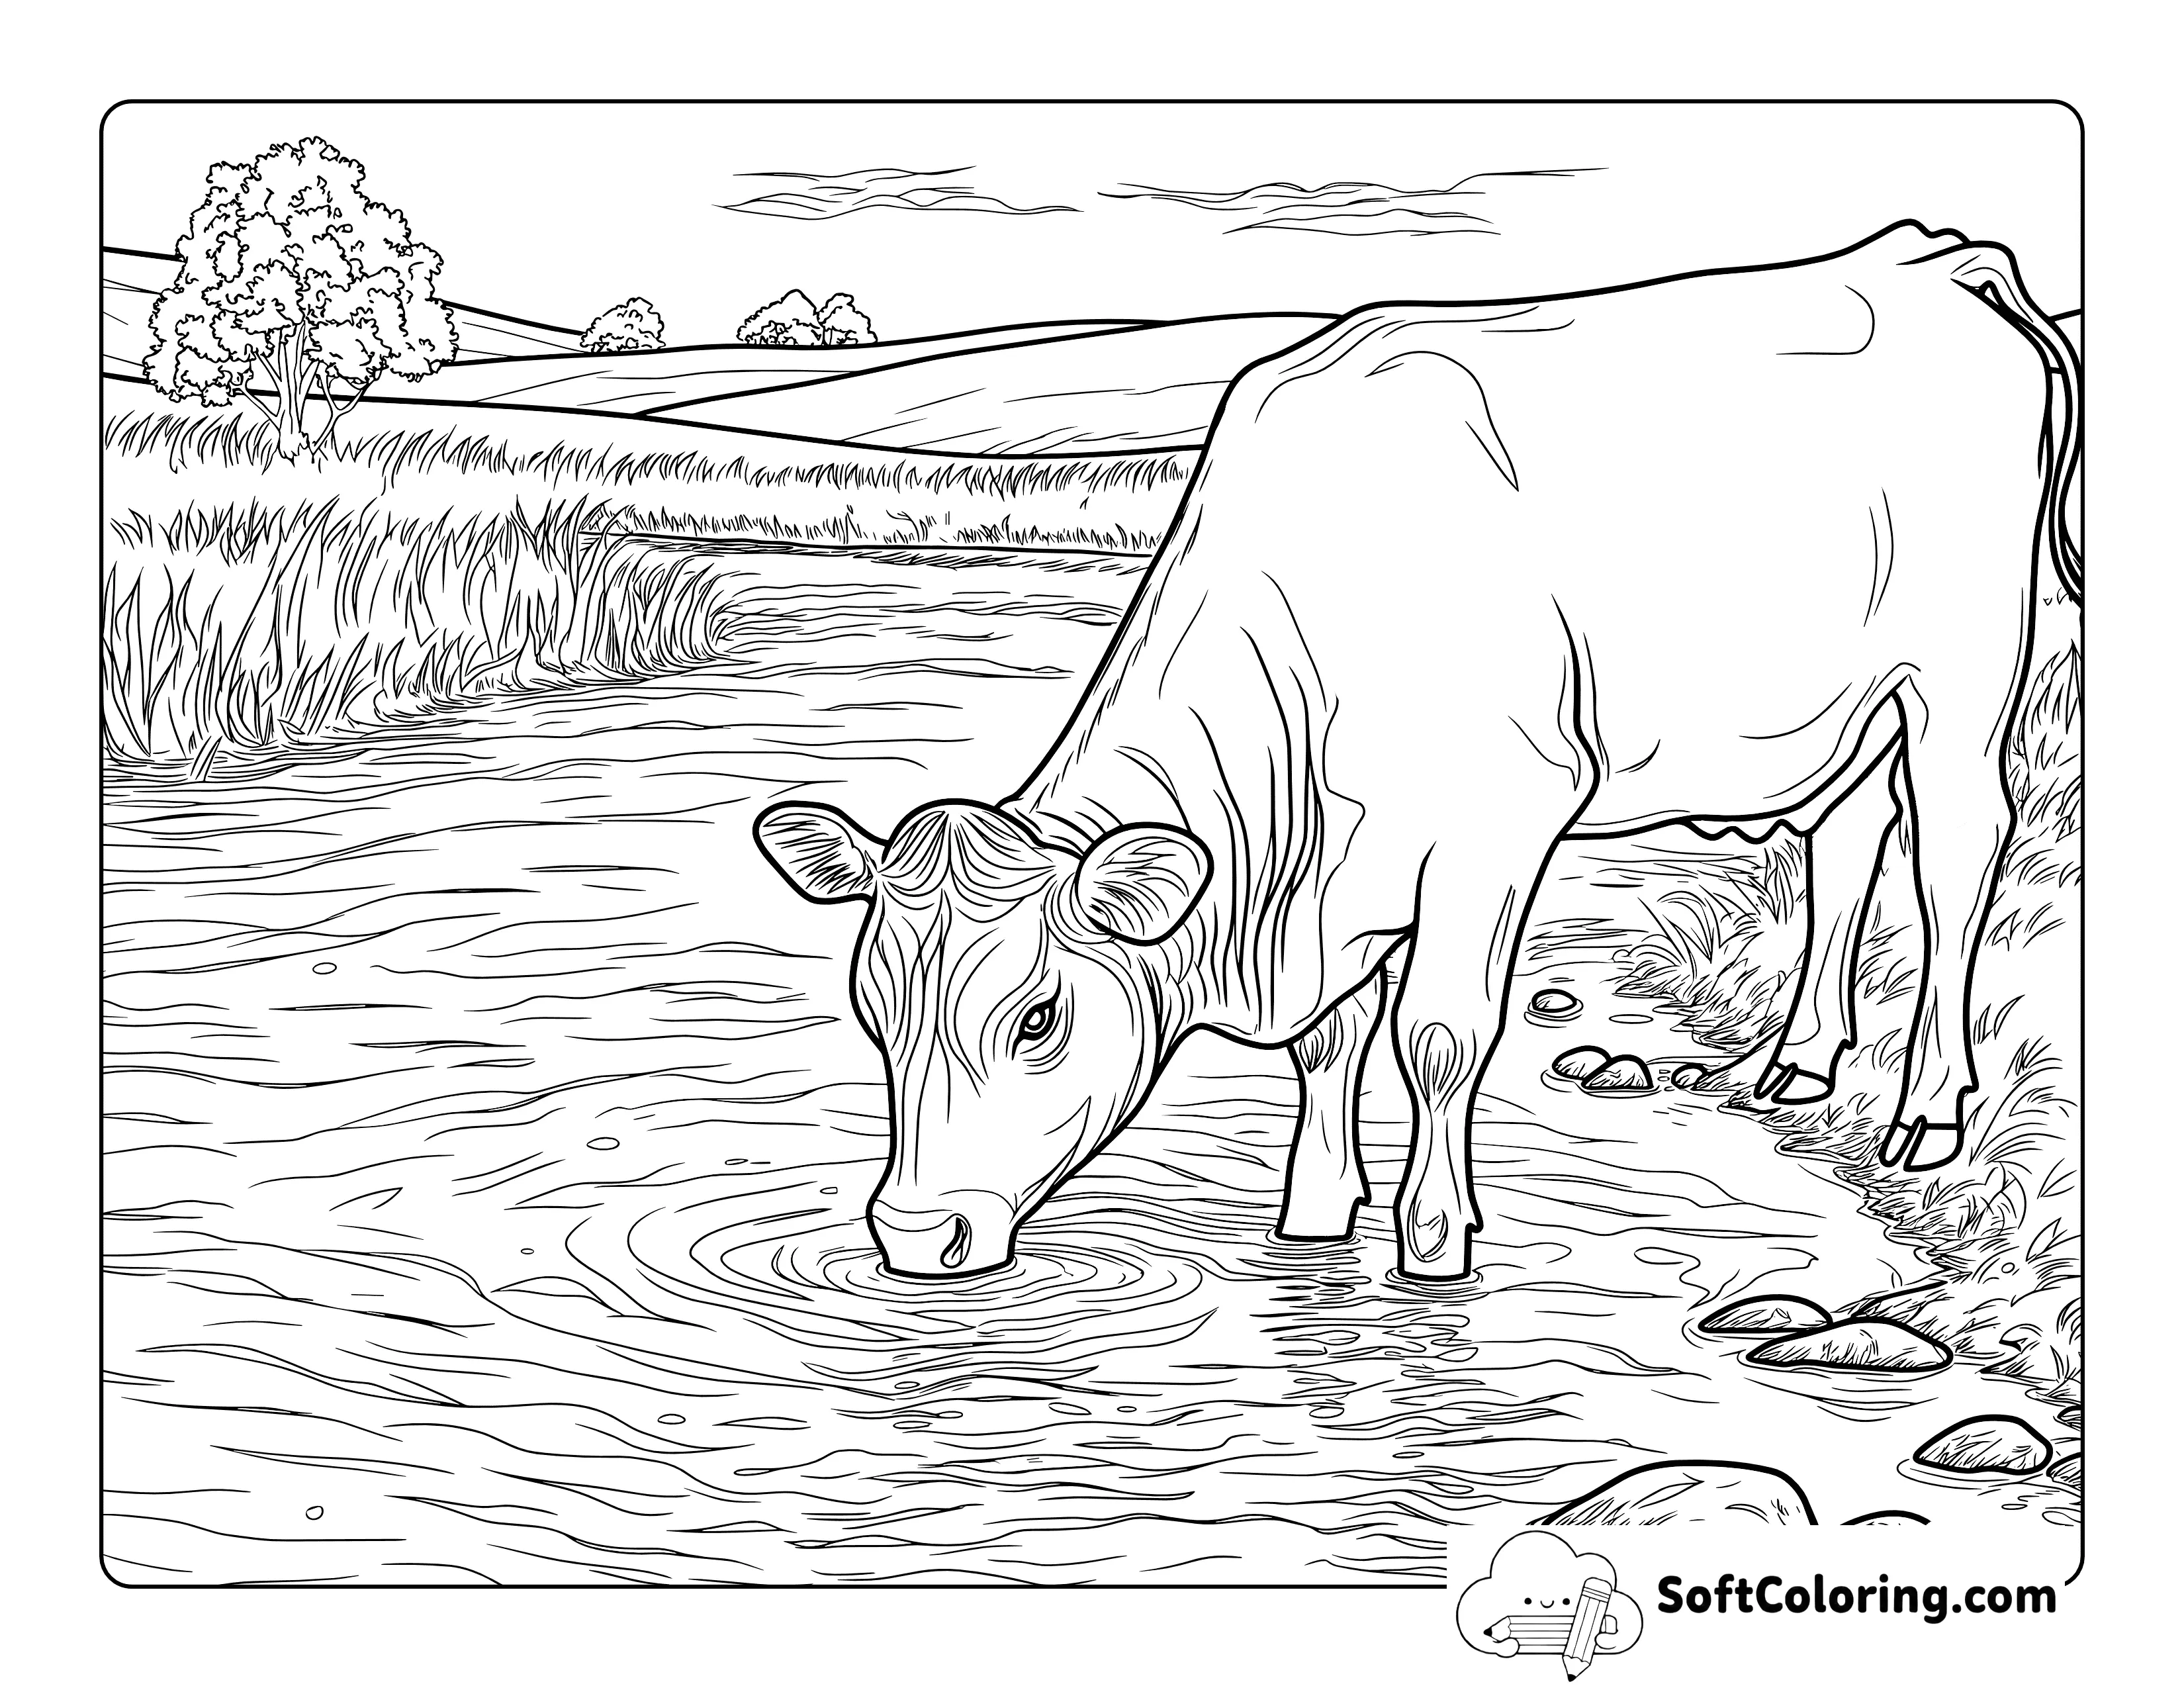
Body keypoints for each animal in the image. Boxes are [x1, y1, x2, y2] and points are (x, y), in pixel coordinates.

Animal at [756, 222, 2081, 1282]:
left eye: (1037, 1018)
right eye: (871, 1005)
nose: (915, 1236)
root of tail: (1924, 256)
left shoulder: (1497, 827)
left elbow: (1440, 1038)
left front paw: (1434, 1240)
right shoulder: (1352, 871)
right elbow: (1329, 1045)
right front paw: (1313, 1214)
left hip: (1962, 677)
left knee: (1958, 855)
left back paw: (1928, 1111)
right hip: (1837, 708)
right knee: (1848, 839)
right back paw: (1797, 1063)